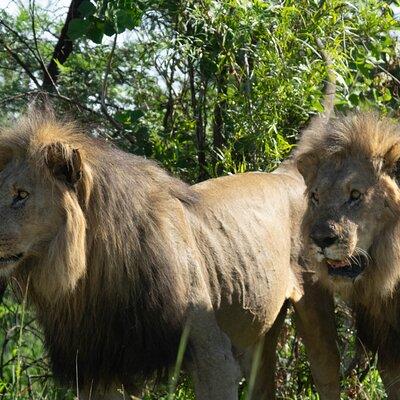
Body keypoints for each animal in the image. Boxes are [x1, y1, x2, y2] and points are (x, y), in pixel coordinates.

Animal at [0, 108, 340, 400]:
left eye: (21, 195)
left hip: (316, 314)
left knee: (327, 374)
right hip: (259, 332)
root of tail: (286, 173)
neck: (90, 277)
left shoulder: (212, 357)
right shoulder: (96, 369)